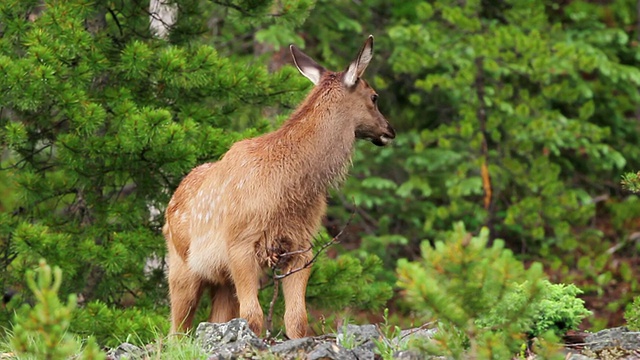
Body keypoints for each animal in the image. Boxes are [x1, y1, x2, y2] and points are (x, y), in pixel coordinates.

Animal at [164, 35, 396, 338]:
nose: (389, 130)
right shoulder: (240, 243)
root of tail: (170, 203)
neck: (287, 187)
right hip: (181, 265)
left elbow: (297, 319)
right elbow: (252, 317)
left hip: (221, 279)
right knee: (176, 331)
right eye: (374, 97)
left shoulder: (301, 247)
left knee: (215, 319)